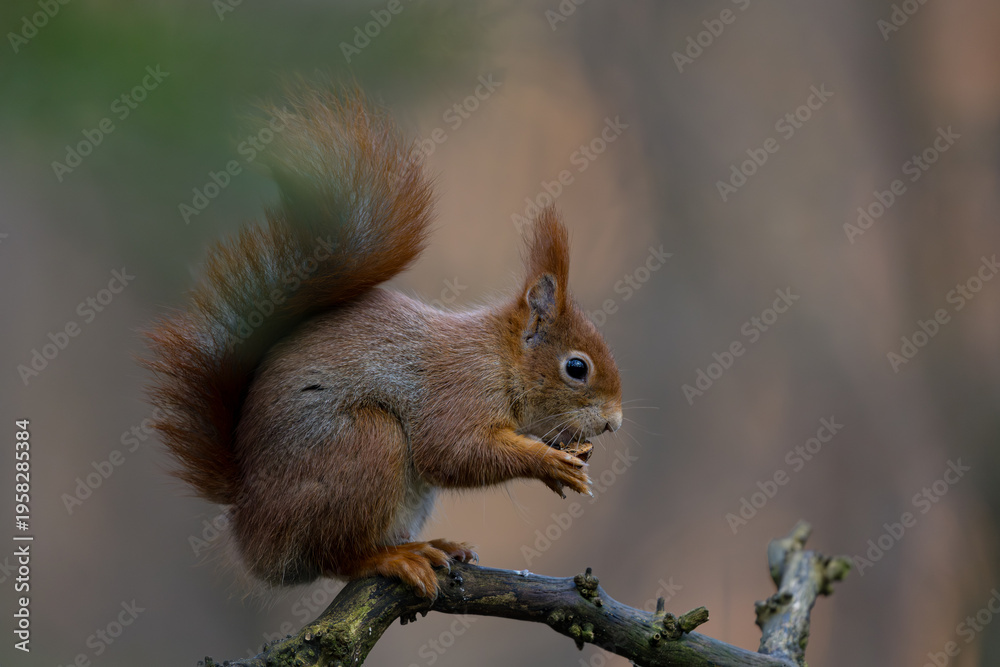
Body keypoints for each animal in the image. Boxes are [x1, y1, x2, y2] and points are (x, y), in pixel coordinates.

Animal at [142, 85, 623, 598]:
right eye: (577, 368)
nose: (613, 423)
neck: (497, 358)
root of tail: (248, 523)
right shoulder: (457, 392)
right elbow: (452, 451)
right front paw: (546, 462)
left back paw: (432, 545)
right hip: (365, 445)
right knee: (336, 556)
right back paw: (393, 558)